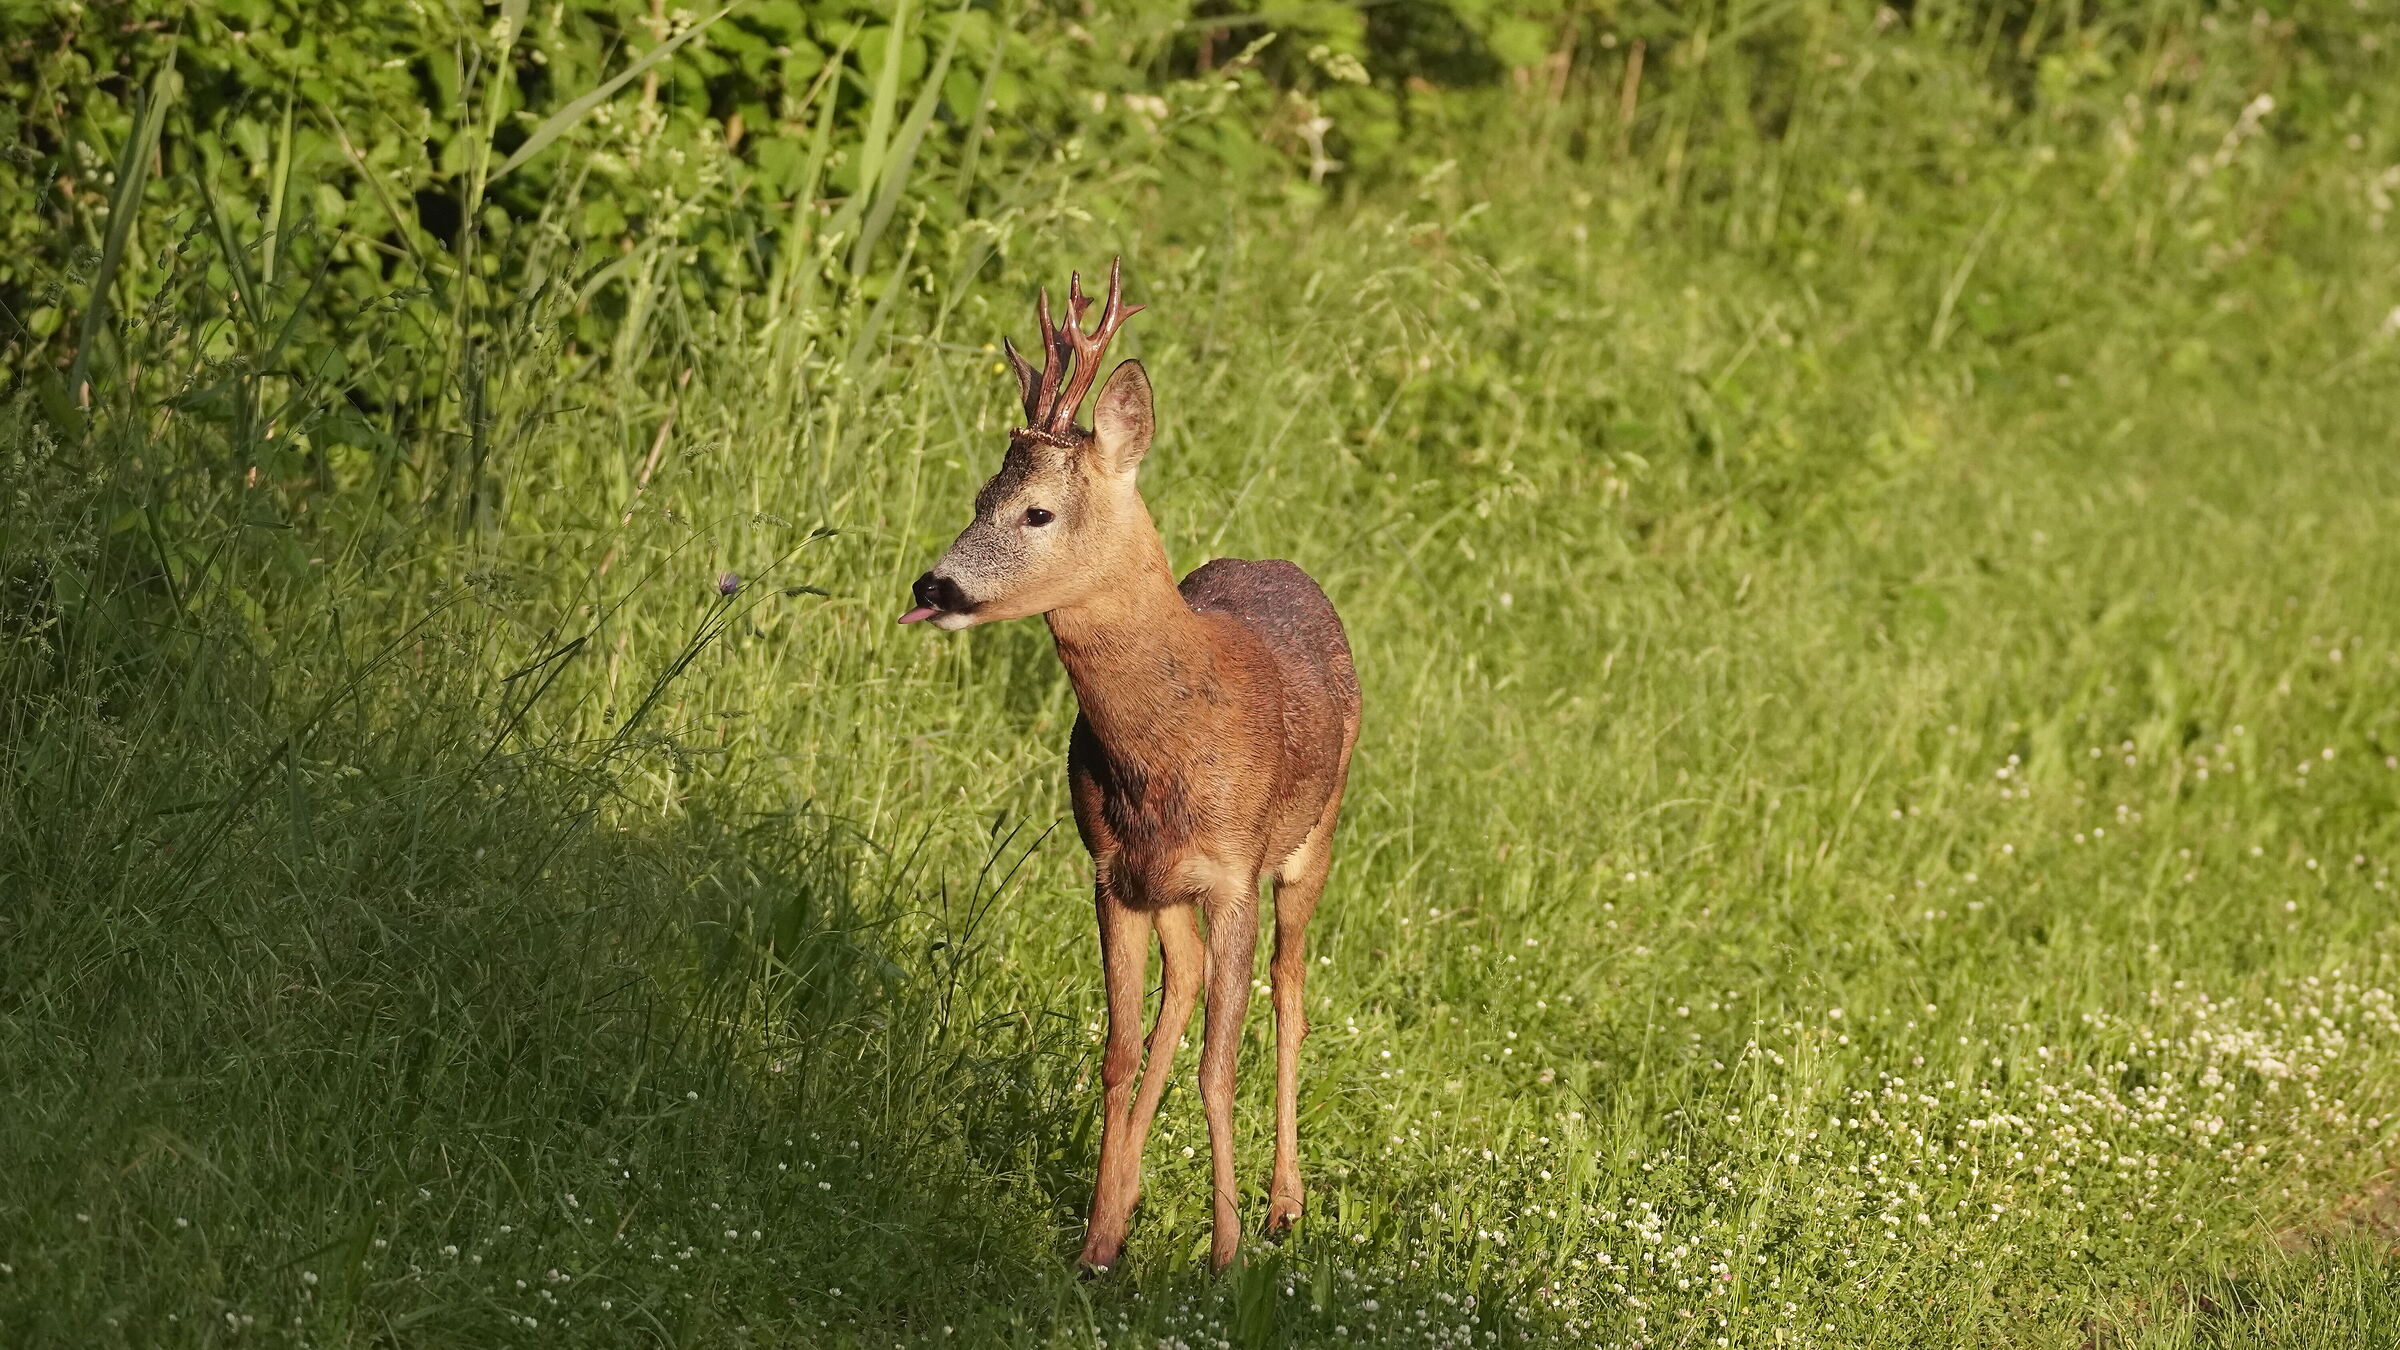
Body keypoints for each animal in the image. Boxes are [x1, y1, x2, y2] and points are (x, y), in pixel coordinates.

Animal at [899, 259, 1360, 1274]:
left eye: (1037, 510)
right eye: (978, 498)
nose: (932, 585)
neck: (1168, 750)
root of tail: (1286, 565)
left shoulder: (1231, 872)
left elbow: (1219, 1066)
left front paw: (1224, 1254)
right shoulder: (1110, 871)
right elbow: (1118, 1050)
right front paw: (1099, 1239)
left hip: (1315, 838)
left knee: (1291, 995)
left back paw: (1283, 1205)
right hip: (1164, 890)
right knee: (1179, 991)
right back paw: (1141, 1200)